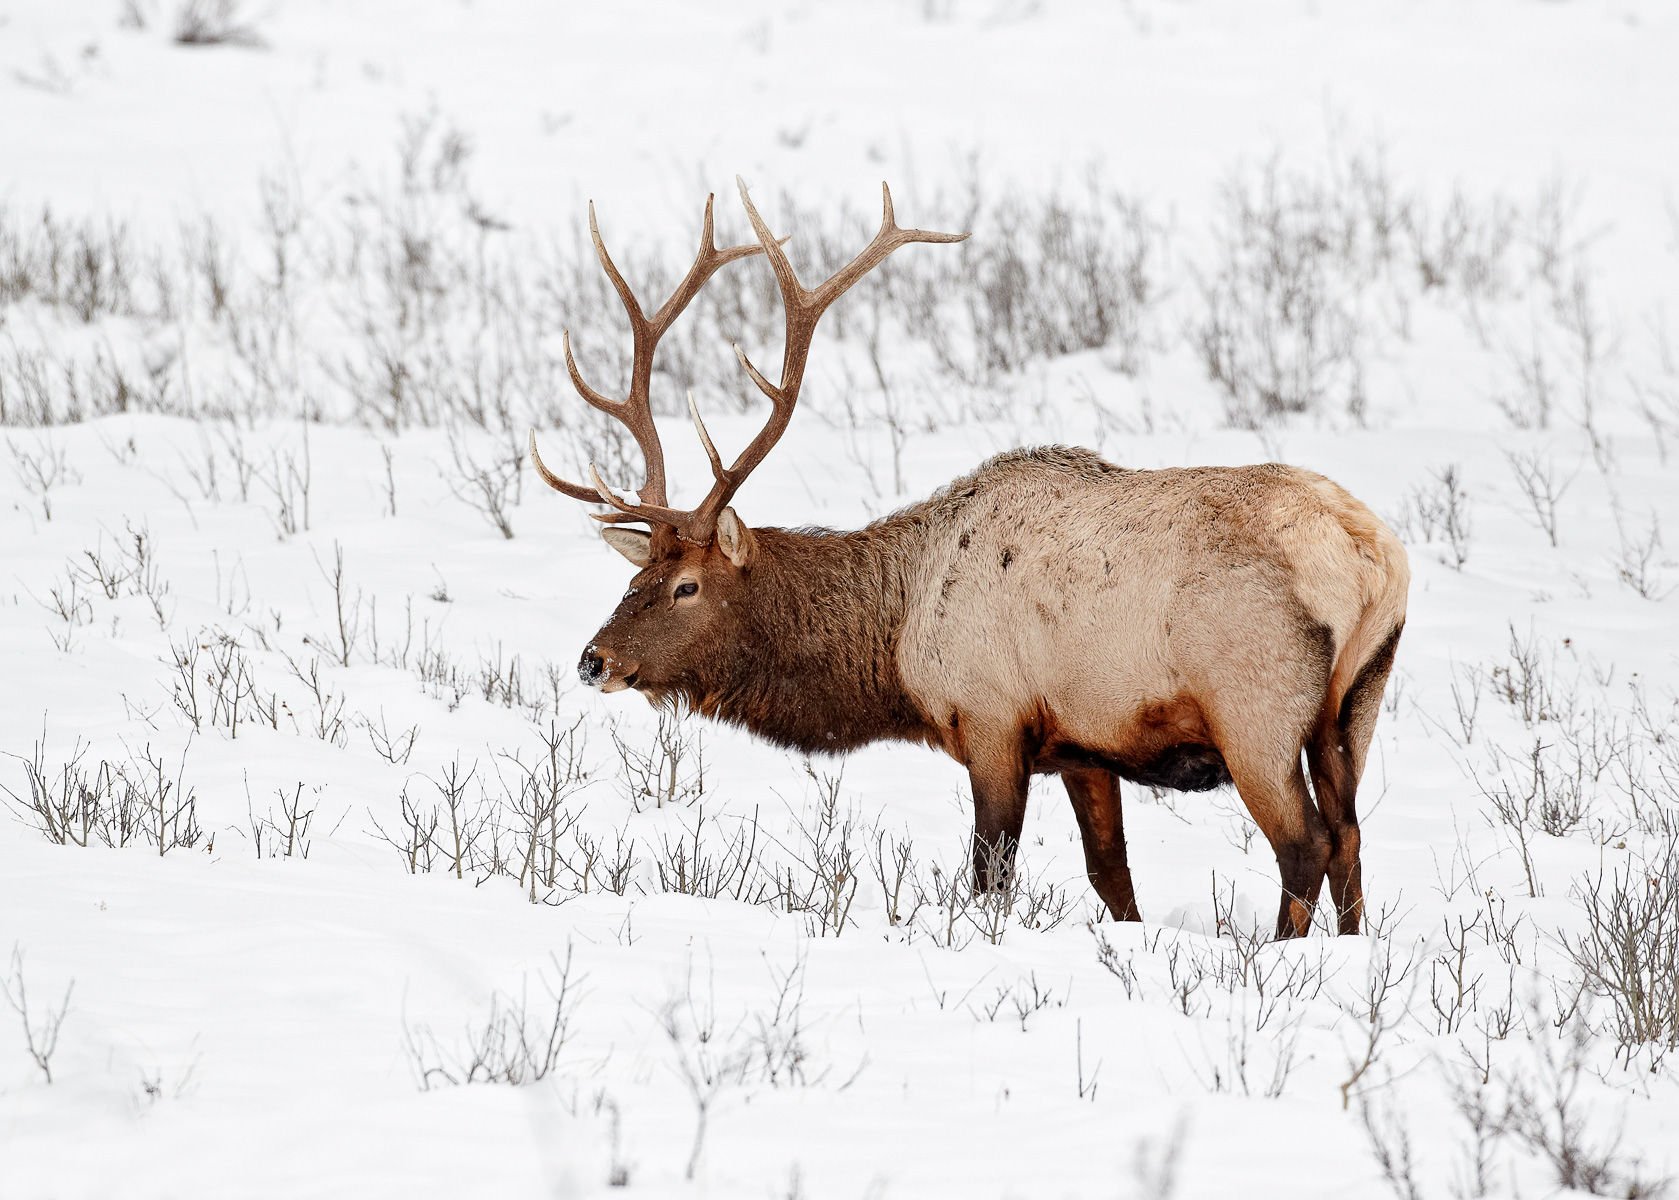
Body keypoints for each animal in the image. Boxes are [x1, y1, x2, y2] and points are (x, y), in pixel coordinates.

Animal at [529, 180, 1409, 939]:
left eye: (685, 586)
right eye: (633, 576)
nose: (592, 659)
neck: (897, 646)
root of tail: (1368, 557)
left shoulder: (991, 718)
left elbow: (991, 877)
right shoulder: (1083, 743)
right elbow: (1111, 877)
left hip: (1254, 705)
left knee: (1304, 845)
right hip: (1354, 704)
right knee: (1350, 839)